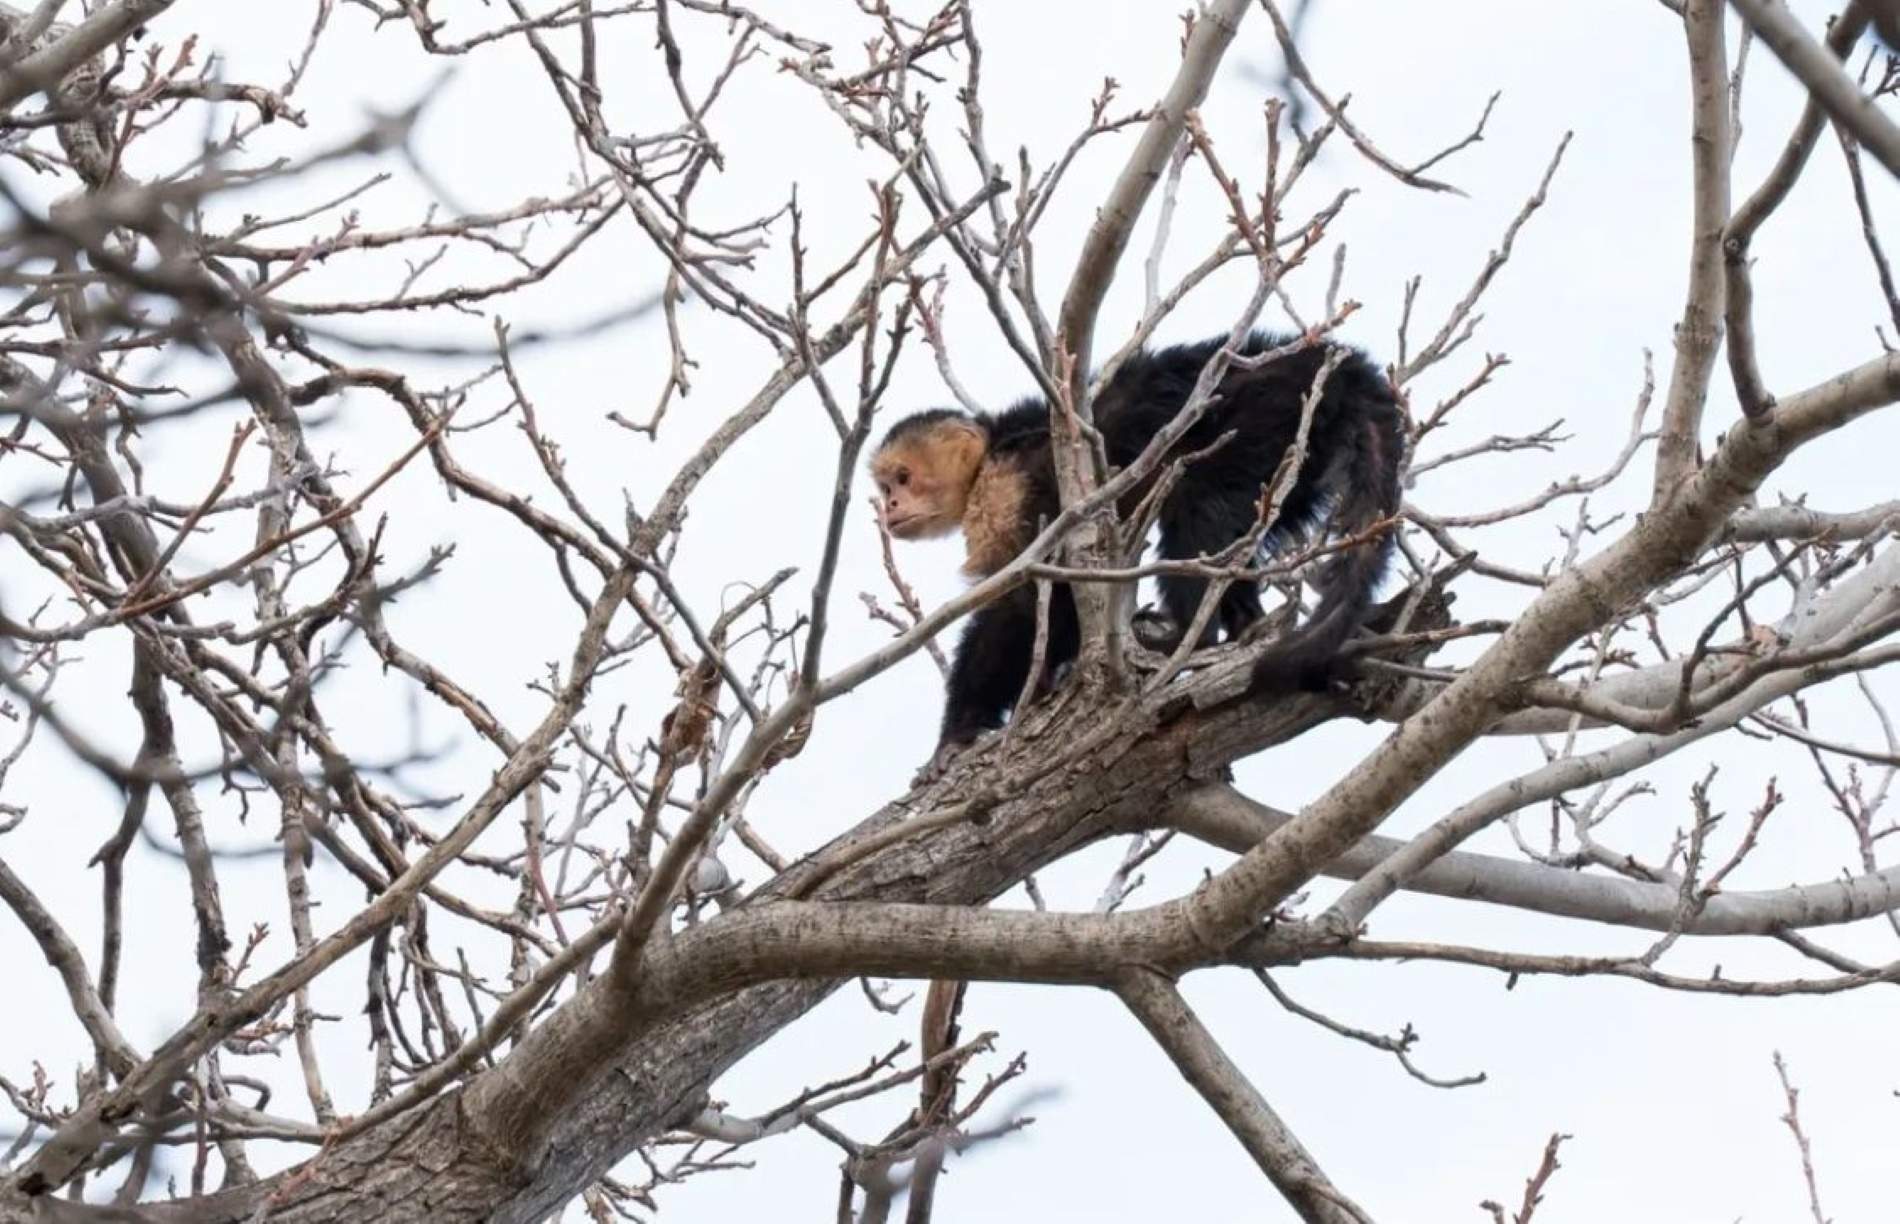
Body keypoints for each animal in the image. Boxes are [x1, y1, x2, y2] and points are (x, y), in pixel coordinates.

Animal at [870, 334, 1406, 764]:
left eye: (904, 478)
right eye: (885, 486)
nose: (891, 505)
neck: (991, 453)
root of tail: (1320, 359)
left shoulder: (1006, 491)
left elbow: (1033, 604)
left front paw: (960, 729)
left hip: (1267, 412)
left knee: (1198, 502)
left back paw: (1189, 636)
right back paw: (1243, 625)